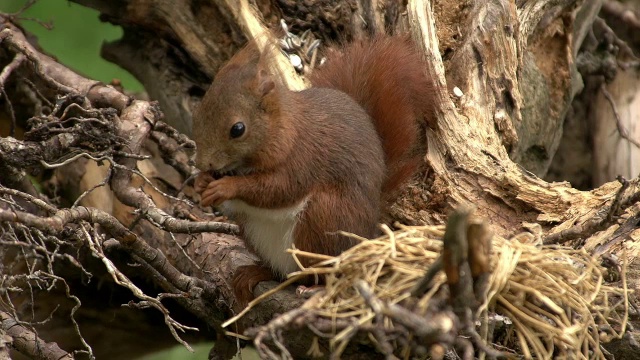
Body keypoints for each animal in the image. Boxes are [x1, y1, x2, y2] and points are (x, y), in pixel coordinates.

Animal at [192, 33, 438, 306]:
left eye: (238, 129)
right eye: (198, 112)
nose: (202, 163)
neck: (284, 128)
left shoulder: (302, 159)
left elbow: (277, 189)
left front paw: (225, 187)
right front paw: (201, 182)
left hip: (323, 218)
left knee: (321, 271)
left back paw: (316, 288)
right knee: (283, 273)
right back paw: (255, 273)